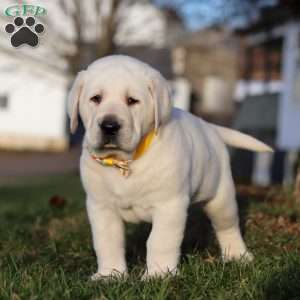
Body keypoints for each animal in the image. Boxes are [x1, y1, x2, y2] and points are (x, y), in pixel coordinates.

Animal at [67, 55, 272, 280]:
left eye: (132, 100)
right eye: (96, 98)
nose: (109, 126)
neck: (126, 161)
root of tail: (209, 127)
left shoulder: (169, 205)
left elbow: (159, 240)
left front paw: (158, 274)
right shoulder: (101, 206)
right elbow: (107, 242)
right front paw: (110, 275)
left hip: (221, 196)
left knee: (227, 226)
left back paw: (237, 255)